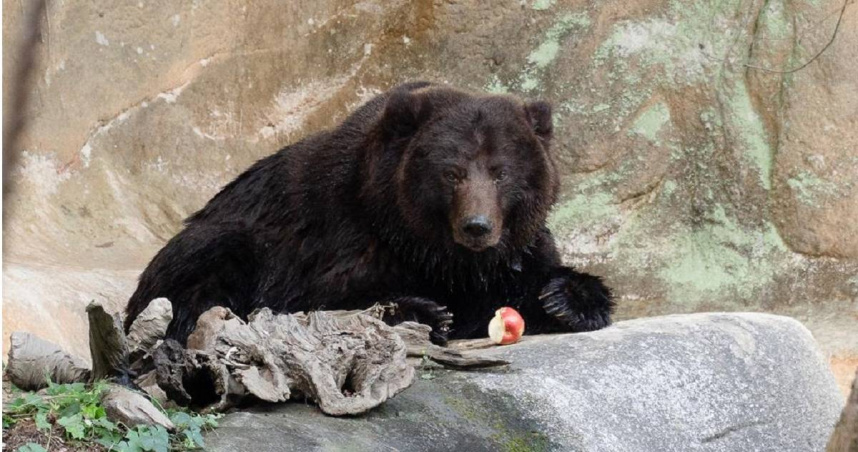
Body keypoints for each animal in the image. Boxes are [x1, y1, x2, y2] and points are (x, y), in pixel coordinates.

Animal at [124, 81, 615, 345]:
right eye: (452, 172)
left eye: (501, 172)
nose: (477, 226)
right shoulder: (339, 237)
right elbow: (316, 297)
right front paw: (426, 312)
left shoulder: (512, 250)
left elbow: (535, 274)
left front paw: (567, 299)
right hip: (220, 238)